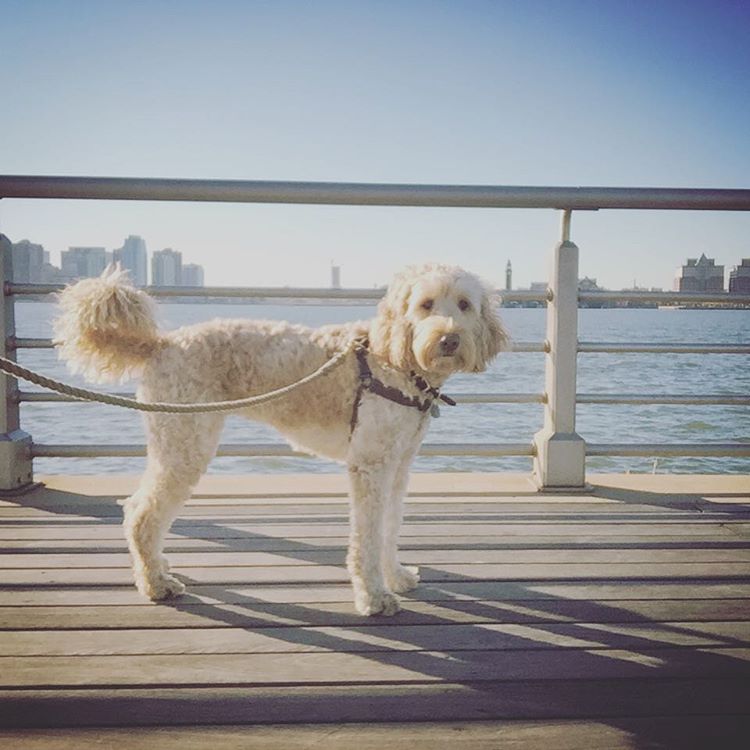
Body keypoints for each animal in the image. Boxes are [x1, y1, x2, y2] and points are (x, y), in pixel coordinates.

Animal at [55, 264, 508, 616]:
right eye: (426, 305)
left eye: (464, 305)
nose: (449, 339)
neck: (395, 360)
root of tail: (160, 344)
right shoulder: (370, 466)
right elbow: (366, 537)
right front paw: (374, 597)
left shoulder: (398, 466)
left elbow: (390, 527)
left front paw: (395, 577)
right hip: (184, 446)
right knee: (143, 515)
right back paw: (155, 585)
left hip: (178, 443)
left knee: (141, 512)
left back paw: (159, 571)